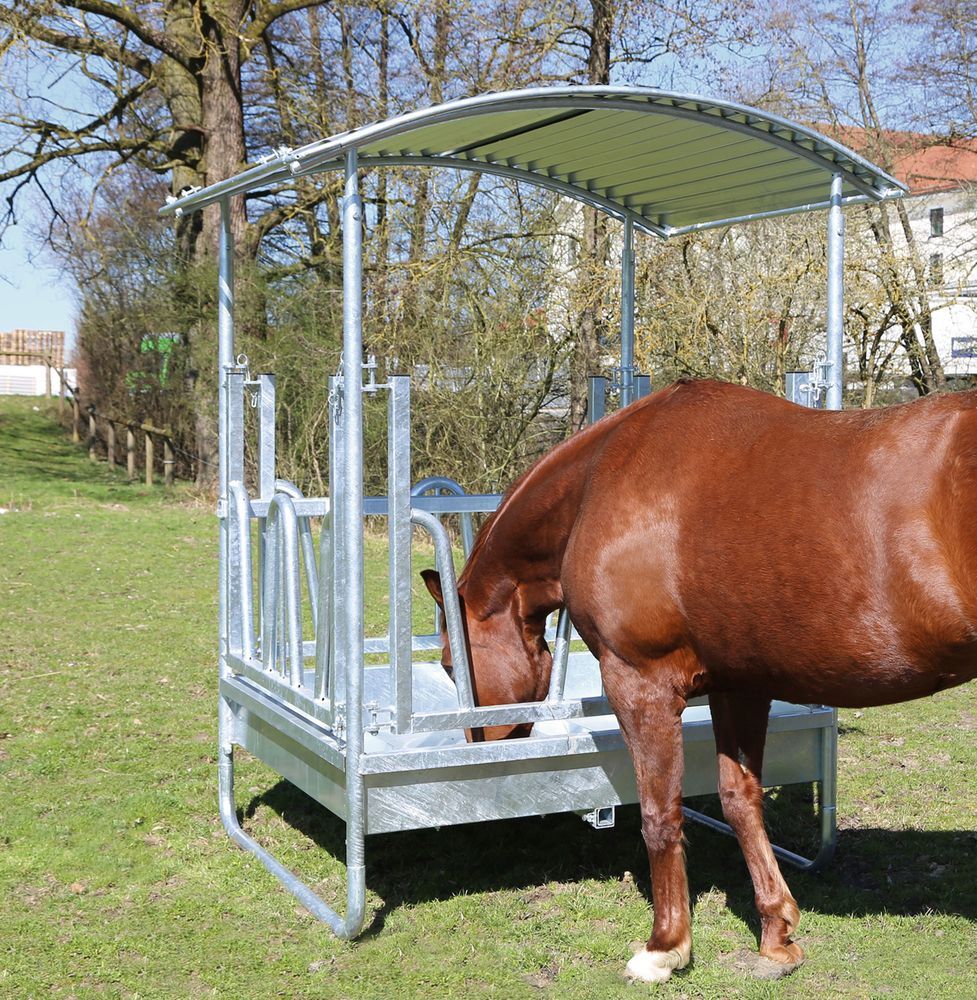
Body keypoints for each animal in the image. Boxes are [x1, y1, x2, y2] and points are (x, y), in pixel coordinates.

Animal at [420, 377, 977, 984]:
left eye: (450, 663)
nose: (479, 740)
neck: (603, 478)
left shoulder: (641, 684)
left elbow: (660, 813)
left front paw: (665, 947)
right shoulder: (741, 684)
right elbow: (739, 798)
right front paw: (776, 932)